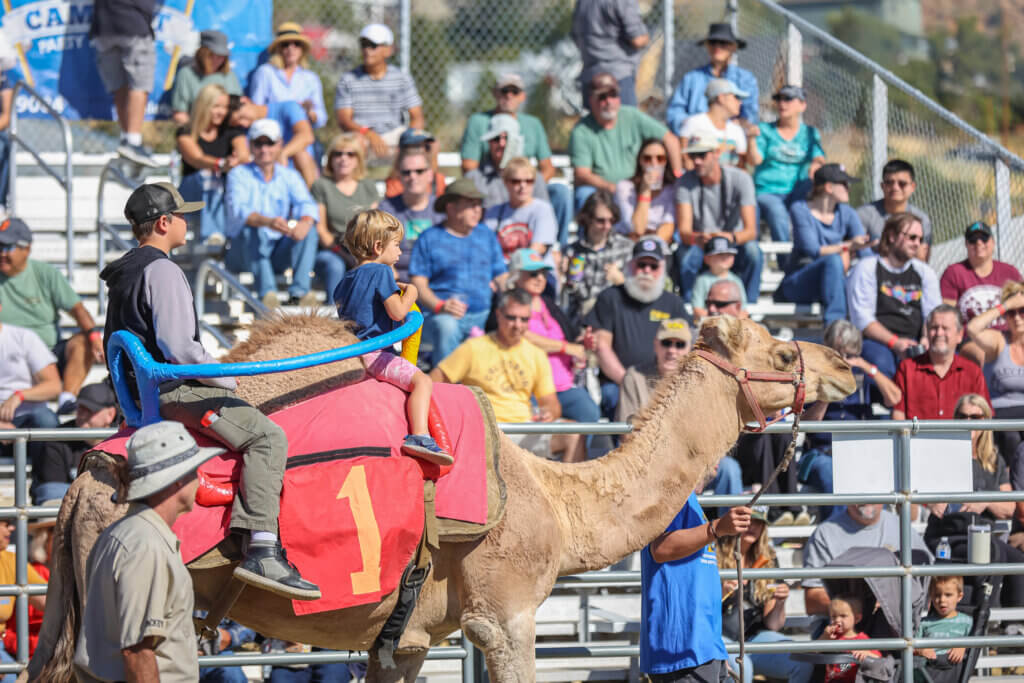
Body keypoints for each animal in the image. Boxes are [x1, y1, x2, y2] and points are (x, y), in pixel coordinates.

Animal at [26, 313, 854, 683]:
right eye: (785, 350)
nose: (847, 362)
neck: (555, 501)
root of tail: (79, 489)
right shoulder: (503, 613)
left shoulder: (407, 636)